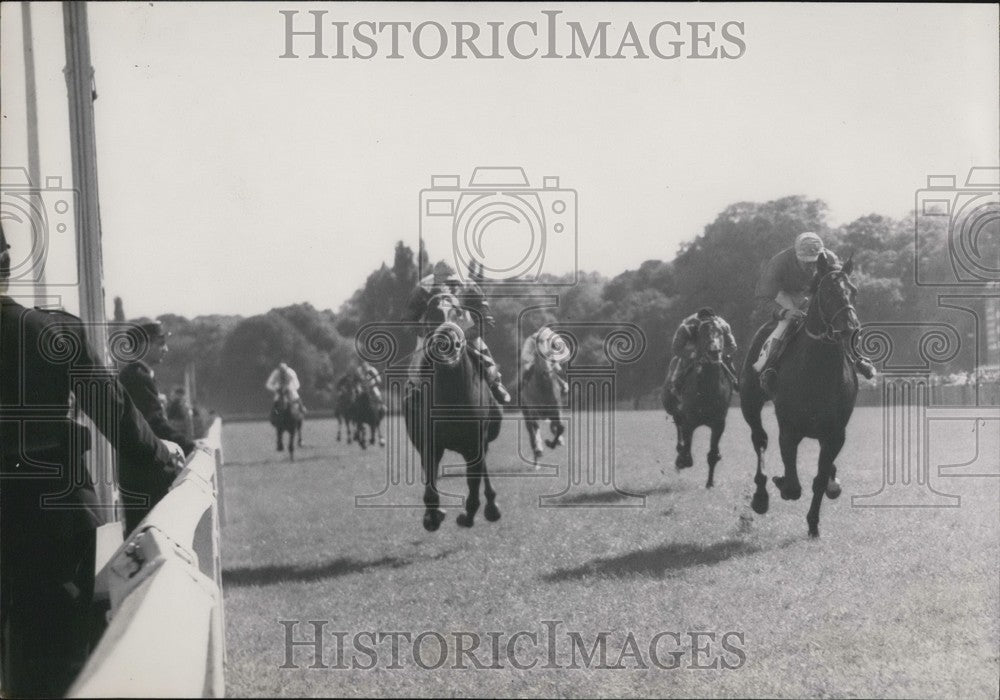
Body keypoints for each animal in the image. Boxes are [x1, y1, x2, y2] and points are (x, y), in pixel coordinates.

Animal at [404, 294, 504, 532]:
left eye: (458, 312)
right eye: (432, 313)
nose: (446, 343)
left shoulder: (475, 443)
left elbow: (474, 483)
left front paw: (468, 515)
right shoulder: (429, 443)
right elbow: (430, 483)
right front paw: (432, 516)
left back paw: (492, 506)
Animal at [664, 318, 736, 486]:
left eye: (720, 332)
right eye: (703, 334)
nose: (714, 351)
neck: (708, 390)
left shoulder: (718, 423)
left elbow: (712, 454)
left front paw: (710, 483)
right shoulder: (689, 421)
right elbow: (687, 451)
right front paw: (681, 460)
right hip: (671, 406)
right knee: (677, 423)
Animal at [744, 254, 860, 540]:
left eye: (853, 291)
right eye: (827, 292)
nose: (850, 329)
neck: (817, 371)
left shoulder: (835, 433)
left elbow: (819, 481)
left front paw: (814, 523)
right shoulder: (789, 429)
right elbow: (793, 485)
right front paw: (782, 483)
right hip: (750, 403)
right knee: (759, 440)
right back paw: (761, 497)